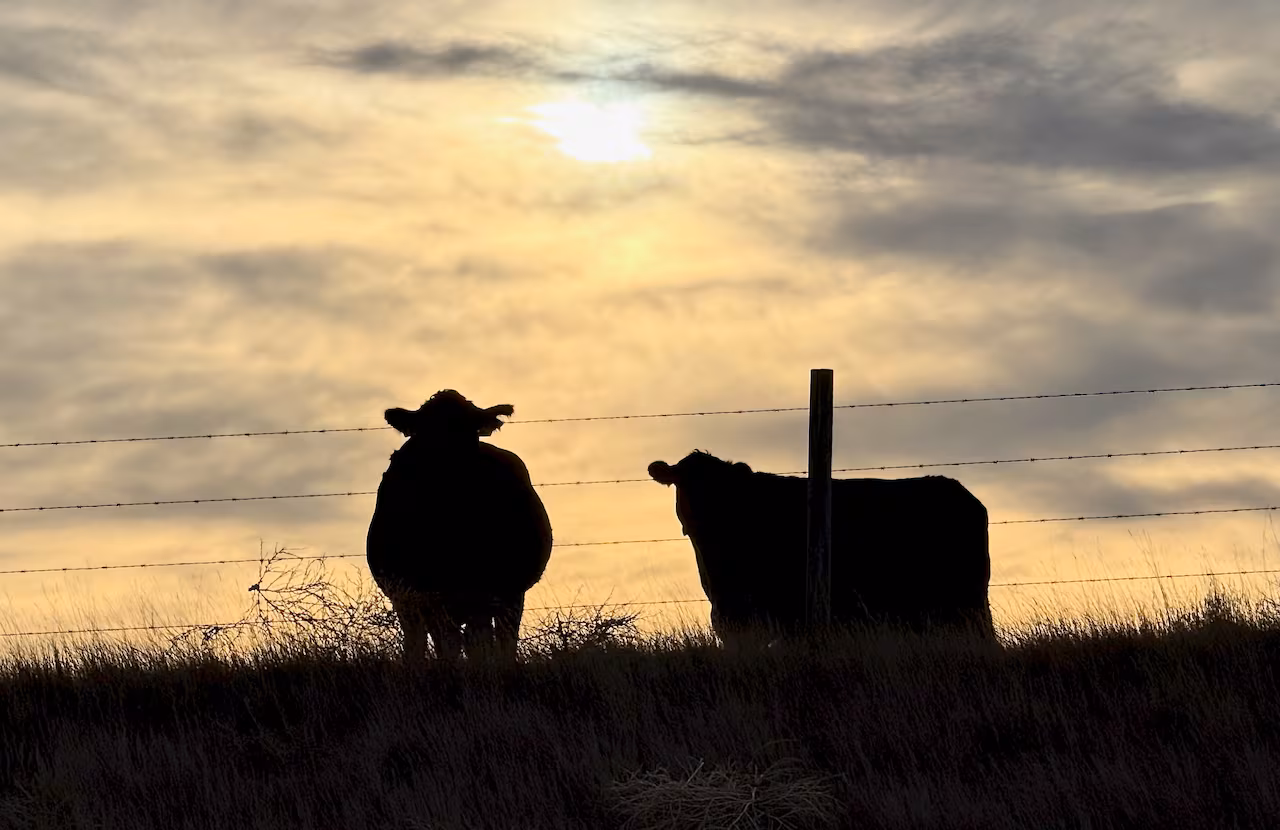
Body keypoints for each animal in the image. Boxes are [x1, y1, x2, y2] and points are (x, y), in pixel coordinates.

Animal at [367, 390, 553, 661]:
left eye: (470, 430)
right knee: (421, 640)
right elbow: (446, 645)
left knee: (499, 639)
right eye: (425, 430)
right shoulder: (426, 594)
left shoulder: (488, 591)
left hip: (507, 596)